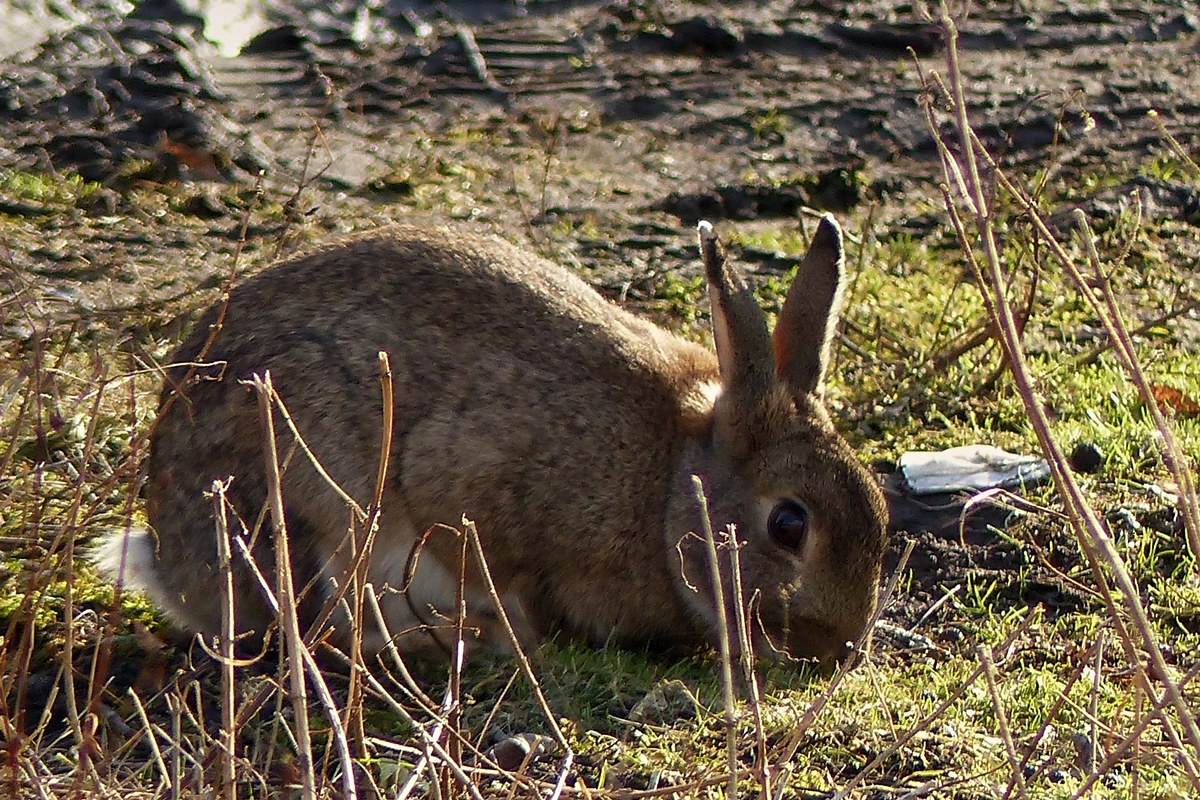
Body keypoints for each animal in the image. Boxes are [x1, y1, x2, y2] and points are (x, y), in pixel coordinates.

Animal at [96, 214, 892, 662]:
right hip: (317, 503)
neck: (666, 483)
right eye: (789, 525)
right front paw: (515, 635)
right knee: (322, 634)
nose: (839, 651)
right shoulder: (466, 485)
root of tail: (169, 559)